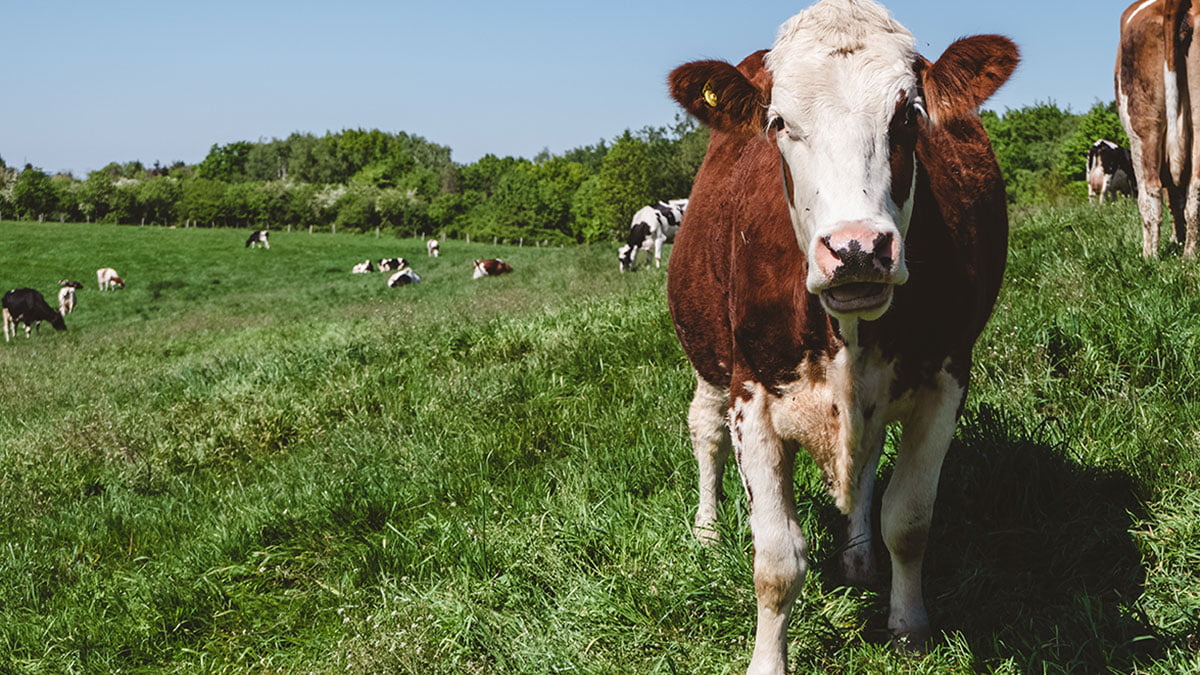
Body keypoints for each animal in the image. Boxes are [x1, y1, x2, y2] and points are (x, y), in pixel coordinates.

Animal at [667, 2, 1012, 667]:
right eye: (778, 121)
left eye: (909, 115)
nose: (856, 249)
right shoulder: (752, 395)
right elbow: (777, 560)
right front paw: (766, 662)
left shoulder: (948, 375)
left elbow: (909, 520)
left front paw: (908, 627)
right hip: (707, 356)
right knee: (703, 430)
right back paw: (706, 530)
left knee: (868, 459)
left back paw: (857, 555)